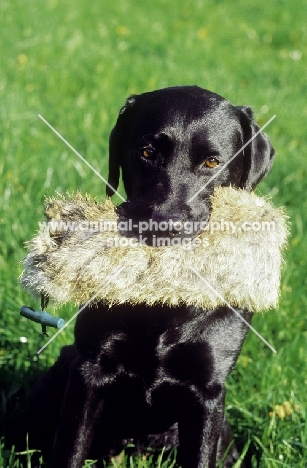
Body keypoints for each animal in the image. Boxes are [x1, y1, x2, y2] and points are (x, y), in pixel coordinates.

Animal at [30, 86, 276, 466]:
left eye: (213, 162)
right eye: (146, 152)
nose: (164, 223)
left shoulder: (208, 393)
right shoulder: (89, 371)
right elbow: (70, 449)